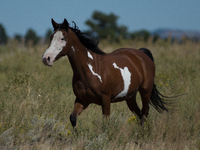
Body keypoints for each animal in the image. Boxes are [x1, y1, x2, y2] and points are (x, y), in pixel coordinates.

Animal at [42, 18, 170, 126]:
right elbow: (72, 118)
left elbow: (106, 123)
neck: (91, 70)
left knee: (144, 113)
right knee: (139, 114)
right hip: (130, 97)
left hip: (145, 91)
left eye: (62, 38)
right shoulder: (82, 100)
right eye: (51, 38)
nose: (46, 58)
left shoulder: (105, 100)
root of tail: (142, 54)